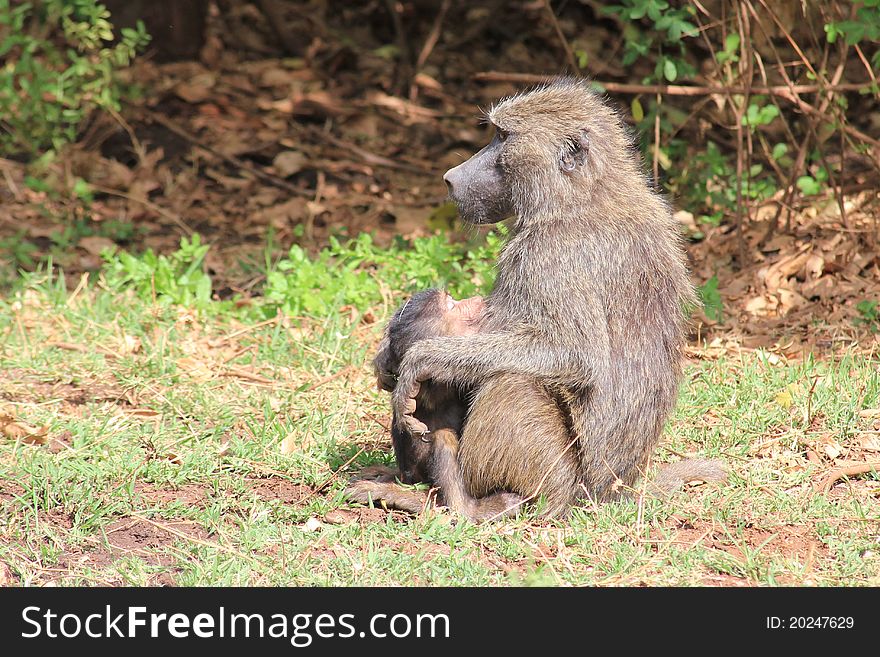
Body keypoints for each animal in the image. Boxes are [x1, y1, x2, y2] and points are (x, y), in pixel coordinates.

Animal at [392, 79, 720, 510]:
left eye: (502, 137)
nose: (450, 177)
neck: (582, 196)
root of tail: (610, 491)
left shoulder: (547, 256)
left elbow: (574, 355)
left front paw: (420, 359)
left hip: (560, 473)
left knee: (513, 381)